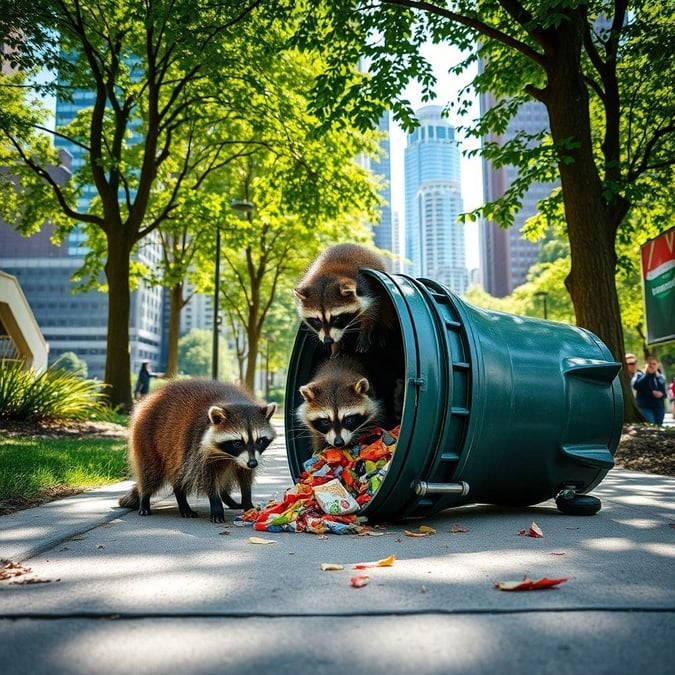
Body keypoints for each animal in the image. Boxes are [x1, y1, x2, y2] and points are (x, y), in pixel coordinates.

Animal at [117, 380, 276, 524]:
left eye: (259, 441)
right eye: (238, 443)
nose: (253, 463)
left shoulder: (242, 459)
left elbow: (245, 478)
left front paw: (247, 502)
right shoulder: (196, 448)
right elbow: (207, 478)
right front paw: (216, 504)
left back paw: (227, 499)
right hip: (150, 441)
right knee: (152, 472)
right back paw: (149, 498)